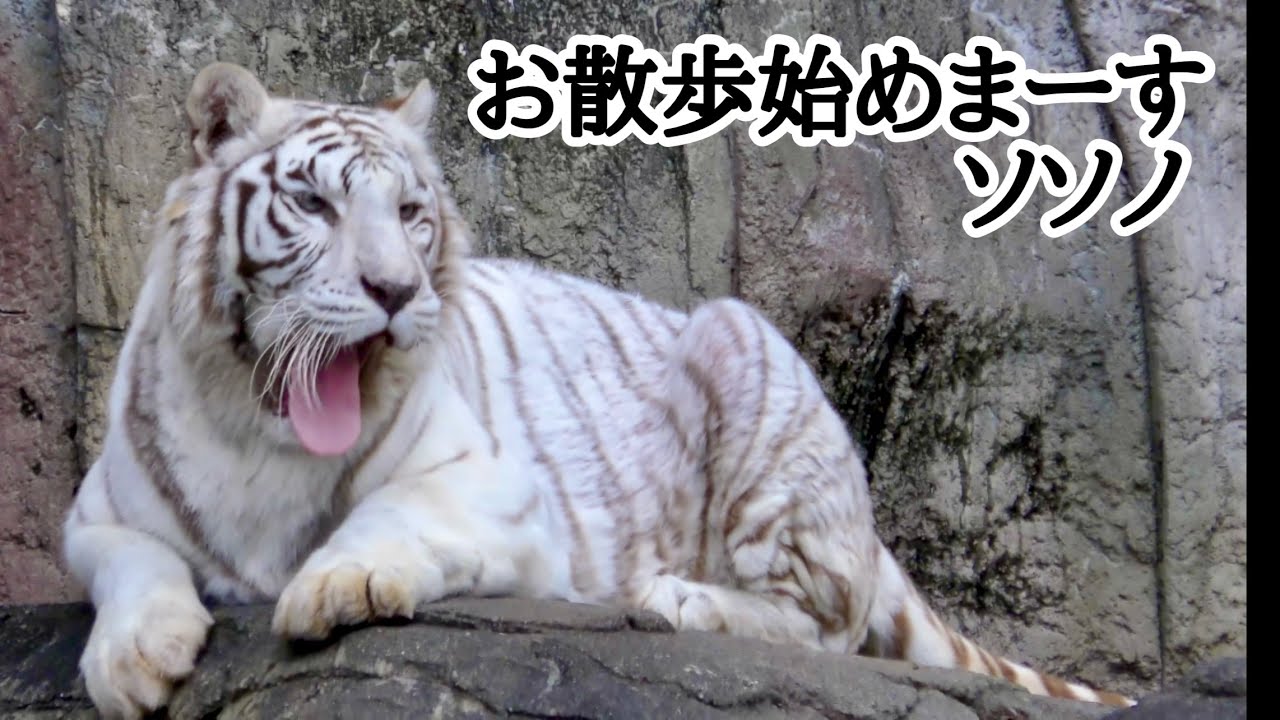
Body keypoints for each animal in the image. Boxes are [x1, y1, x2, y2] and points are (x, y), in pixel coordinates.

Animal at [62, 61, 1137, 719]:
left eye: (409, 213)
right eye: (315, 205)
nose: (396, 290)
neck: (261, 428)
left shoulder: (496, 489)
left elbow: (393, 514)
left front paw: (339, 582)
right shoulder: (96, 507)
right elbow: (129, 560)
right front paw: (132, 657)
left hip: (742, 349)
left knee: (825, 628)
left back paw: (676, 597)